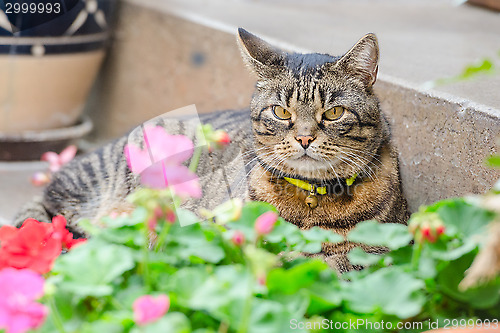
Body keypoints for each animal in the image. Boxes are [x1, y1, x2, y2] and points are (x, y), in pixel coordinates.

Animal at [15, 28, 408, 272]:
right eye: (282, 112)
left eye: (334, 113)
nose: (305, 139)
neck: (310, 203)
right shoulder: (200, 225)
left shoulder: (381, 250)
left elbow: (333, 263)